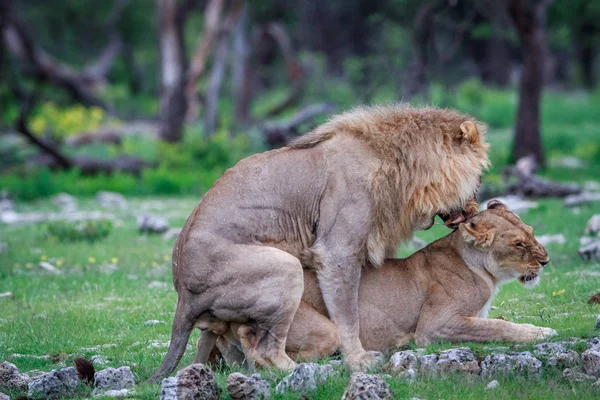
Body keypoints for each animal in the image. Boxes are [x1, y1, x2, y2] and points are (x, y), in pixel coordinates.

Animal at [149, 104, 488, 380]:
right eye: (479, 178)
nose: (474, 209)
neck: (404, 171)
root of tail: (183, 294)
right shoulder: (337, 250)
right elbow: (348, 313)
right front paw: (359, 360)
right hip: (283, 266)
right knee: (268, 349)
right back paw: (306, 368)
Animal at [196, 200, 552, 366]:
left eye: (532, 232)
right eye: (518, 244)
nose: (546, 261)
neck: (484, 271)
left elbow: (498, 321)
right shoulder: (435, 326)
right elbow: (498, 327)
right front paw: (541, 333)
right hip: (320, 328)